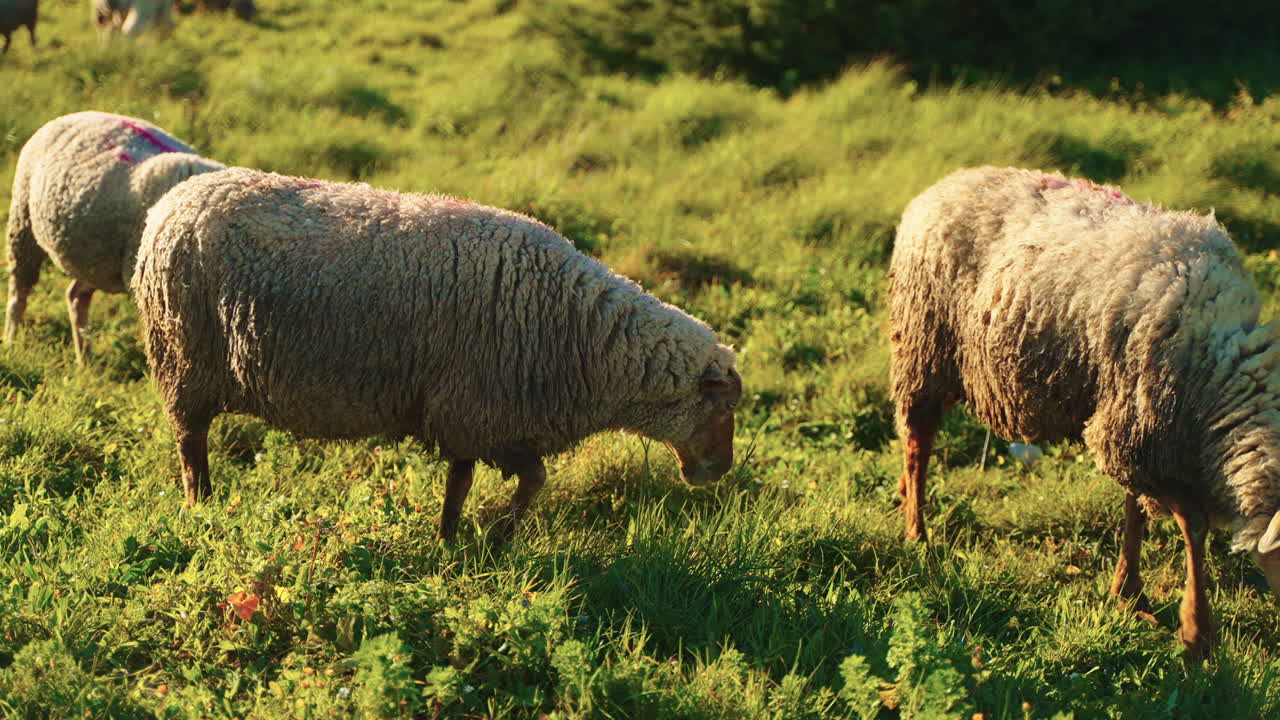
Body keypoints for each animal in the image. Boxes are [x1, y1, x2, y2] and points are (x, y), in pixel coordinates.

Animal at [5, 111, 226, 362]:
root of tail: (73, 115)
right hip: (23, 224)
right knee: (19, 294)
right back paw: (11, 342)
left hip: (97, 259)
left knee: (76, 295)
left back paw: (85, 359)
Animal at [131, 167, 743, 541]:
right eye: (726, 408)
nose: (719, 472)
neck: (585, 335)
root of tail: (170, 204)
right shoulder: (484, 413)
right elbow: (533, 479)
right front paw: (498, 537)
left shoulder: (469, 417)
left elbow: (462, 483)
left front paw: (450, 540)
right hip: (184, 361)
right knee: (190, 445)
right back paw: (202, 508)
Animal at [889, 165, 1280, 657]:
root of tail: (942, 185)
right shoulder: (1133, 427)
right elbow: (1193, 524)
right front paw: (1196, 630)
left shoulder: (1137, 425)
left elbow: (1136, 510)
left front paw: (1129, 593)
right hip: (923, 343)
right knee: (917, 443)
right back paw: (916, 533)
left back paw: (903, 498)